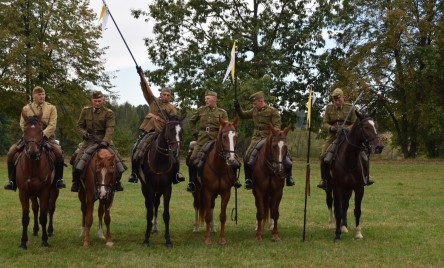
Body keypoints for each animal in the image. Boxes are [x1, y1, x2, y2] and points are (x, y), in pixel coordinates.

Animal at [14, 112, 58, 250]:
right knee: (35, 208)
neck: (33, 166)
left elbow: (43, 216)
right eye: (25, 130)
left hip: (54, 191)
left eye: (40, 130)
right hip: (33, 194)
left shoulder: (44, 192)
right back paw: (35, 230)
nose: (33, 152)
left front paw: (44, 241)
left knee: (51, 208)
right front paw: (23, 242)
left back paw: (50, 231)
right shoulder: (23, 192)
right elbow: (25, 217)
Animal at [139, 113, 184, 247]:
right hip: (145, 188)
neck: (159, 160)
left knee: (156, 203)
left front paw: (168, 240)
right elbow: (149, 213)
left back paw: (154, 228)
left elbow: (166, 214)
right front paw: (146, 239)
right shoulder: (149, 187)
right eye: (170, 130)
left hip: (158, 190)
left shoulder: (167, 188)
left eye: (182, 131)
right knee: (149, 205)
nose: (175, 152)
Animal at [195, 115, 239, 245]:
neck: (218, 168)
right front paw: (207, 239)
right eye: (224, 136)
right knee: (197, 206)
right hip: (197, 192)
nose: (231, 159)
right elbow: (207, 216)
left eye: (236, 136)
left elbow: (222, 216)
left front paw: (222, 238)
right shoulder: (207, 192)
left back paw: (213, 228)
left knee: (211, 207)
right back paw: (196, 227)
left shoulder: (226, 193)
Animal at [320, 110, 384, 240]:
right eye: (366, 127)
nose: (379, 147)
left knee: (345, 205)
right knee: (330, 202)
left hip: (348, 190)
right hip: (329, 187)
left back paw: (344, 226)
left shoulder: (359, 188)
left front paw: (358, 233)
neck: (348, 160)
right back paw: (332, 224)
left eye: (376, 125)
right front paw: (337, 234)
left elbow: (357, 210)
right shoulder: (337, 188)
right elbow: (337, 210)